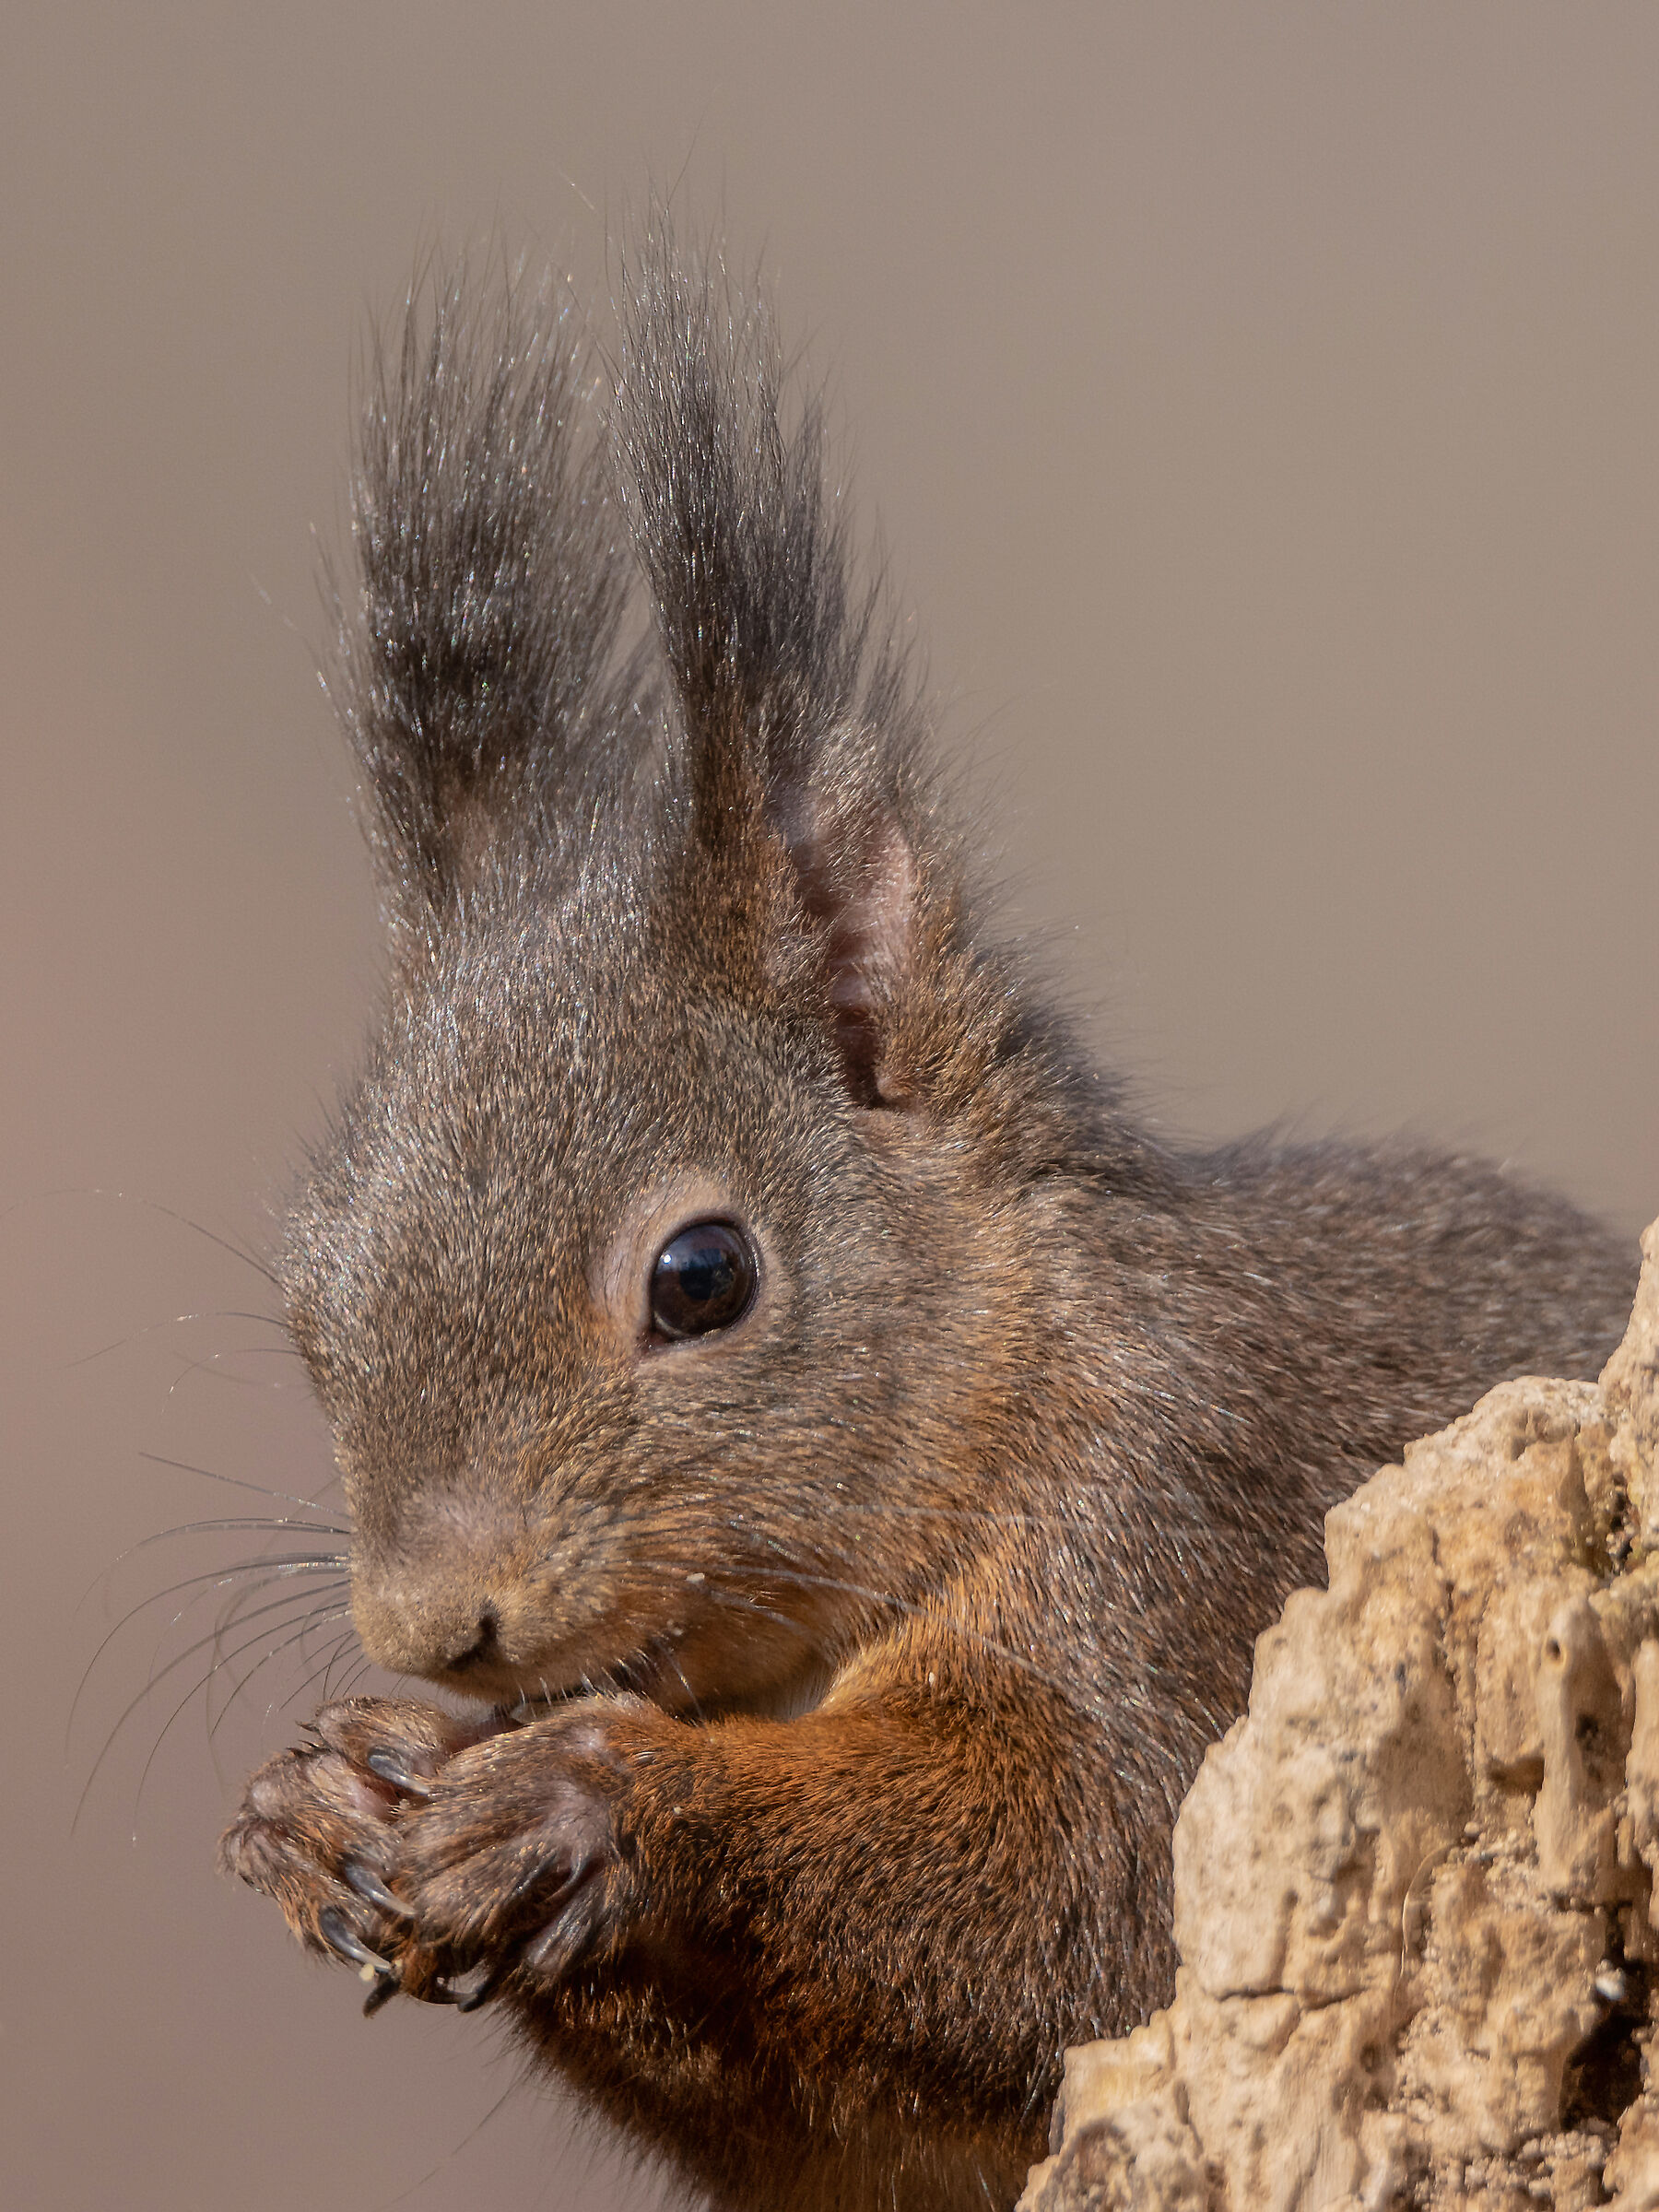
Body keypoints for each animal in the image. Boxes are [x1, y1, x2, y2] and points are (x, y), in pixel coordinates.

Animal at [218, 239, 1637, 2212]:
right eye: (311, 1304)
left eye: (702, 1277)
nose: (430, 1630)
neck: (1018, 1359)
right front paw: (323, 1796)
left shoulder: (1185, 1523)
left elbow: (1093, 1883)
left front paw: (593, 1791)